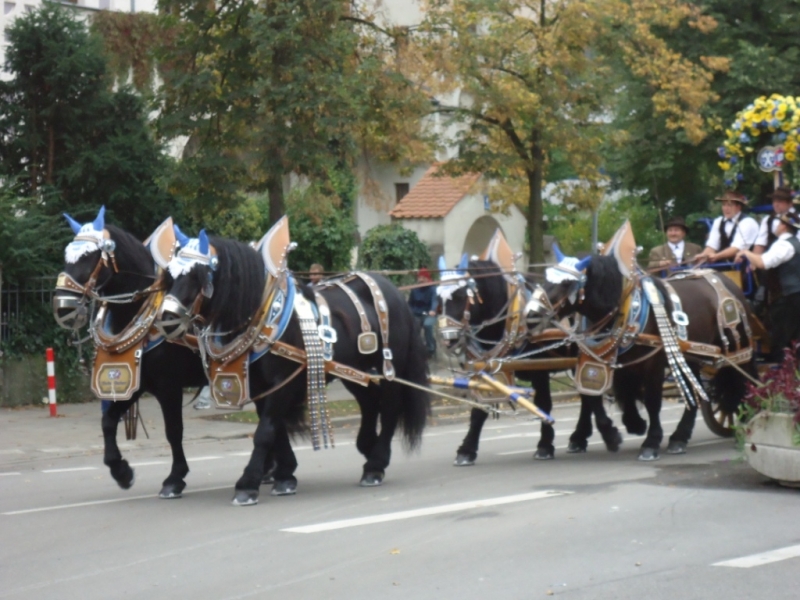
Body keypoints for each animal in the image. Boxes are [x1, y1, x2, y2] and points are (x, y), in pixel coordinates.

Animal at [54, 211, 206, 496]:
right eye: (67, 255)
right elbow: (108, 420)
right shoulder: (137, 383)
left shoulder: (169, 386)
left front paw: (175, 477)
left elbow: (173, 430)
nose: (62, 307)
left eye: (89, 257)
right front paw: (121, 471)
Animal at [158, 231, 432, 506]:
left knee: (389, 409)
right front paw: (285, 475)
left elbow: (265, 431)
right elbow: (275, 429)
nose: (165, 320)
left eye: (198, 276)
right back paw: (368, 448)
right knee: (370, 403)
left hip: (390, 369)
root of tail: (391, 289)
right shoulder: (262, 387)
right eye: (170, 276)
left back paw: (375, 464)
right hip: (354, 371)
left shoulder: (282, 382)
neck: (261, 315)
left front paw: (248, 484)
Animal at [440, 258, 620, 464]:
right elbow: (479, 410)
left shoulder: (539, 369)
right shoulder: (487, 370)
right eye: (438, 299)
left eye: (461, 296)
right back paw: (579, 438)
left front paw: (545, 445)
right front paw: (467, 450)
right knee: (587, 398)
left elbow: (543, 404)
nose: (447, 339)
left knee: (588, 397)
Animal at [536, 253, 756, 460]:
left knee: (747, 384)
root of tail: (725, 281)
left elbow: (651, 401)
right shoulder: (616, 363)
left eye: (567, 283)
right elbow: (614, 396)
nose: (532, 315)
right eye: (546, 278)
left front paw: (650, 442)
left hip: (739, 353)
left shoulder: (652, 364)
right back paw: (679, 438)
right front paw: (627, 428)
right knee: (695, 392)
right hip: (691, 356)